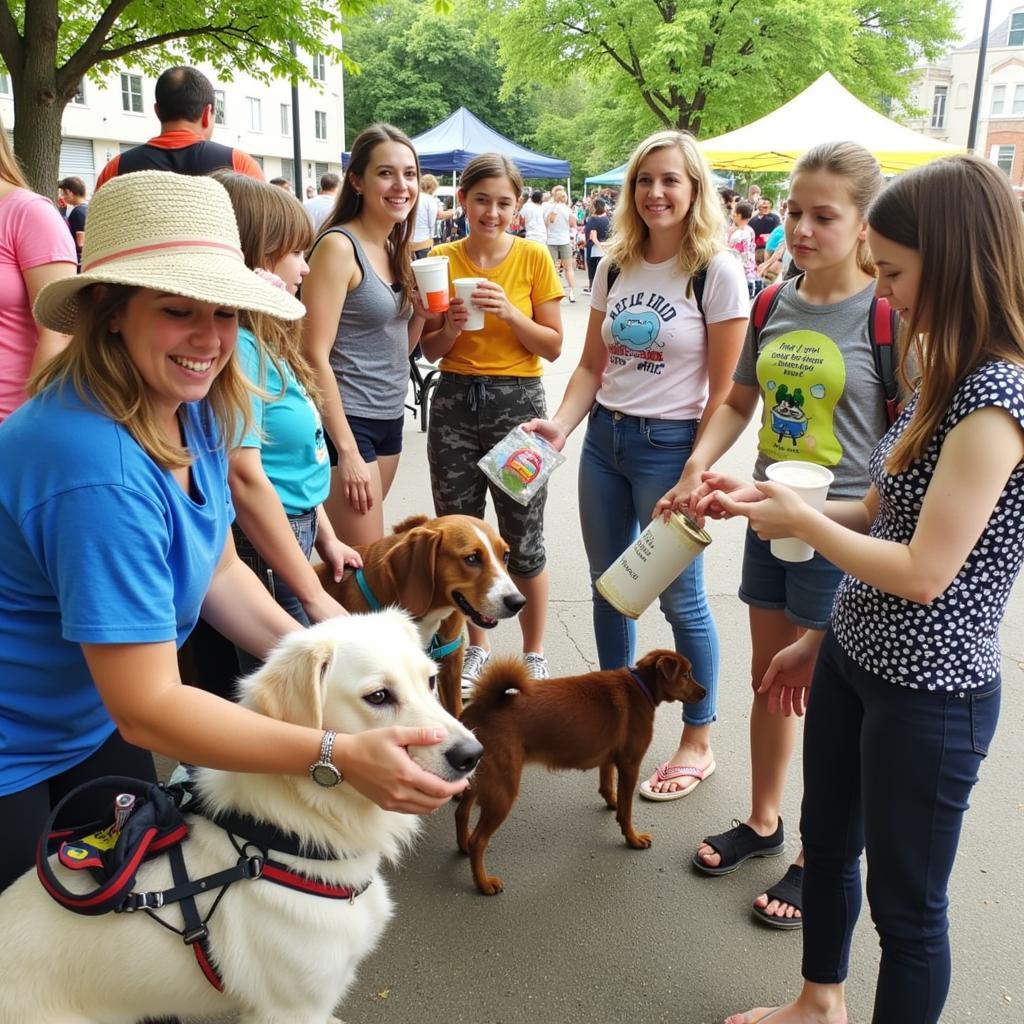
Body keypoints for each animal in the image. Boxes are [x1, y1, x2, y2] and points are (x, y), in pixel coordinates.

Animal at [456, 651, 704, 892]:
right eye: (686, 675)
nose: (705, 692)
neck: (641, 685)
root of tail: (481, 709)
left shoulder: (608, 758)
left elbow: (607, 785)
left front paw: (612, 801)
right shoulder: (630, 765)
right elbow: (626, 811)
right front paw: (632, 838)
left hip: (478, 780)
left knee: (461, 812)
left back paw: (463, 846)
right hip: (503, 790)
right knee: (479, 840)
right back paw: (483, 883)